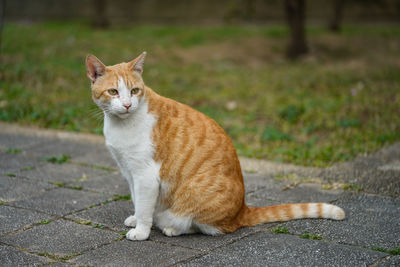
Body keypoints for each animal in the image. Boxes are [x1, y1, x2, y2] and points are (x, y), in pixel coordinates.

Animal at [84, 52, 344, 243]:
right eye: (113, 92)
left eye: (135, 91)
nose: (128, 105)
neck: (121, 124)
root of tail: (242, 210)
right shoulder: (129, 171)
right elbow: (138, 202)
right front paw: (135, 218)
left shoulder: (145, 176)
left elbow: (145, 206)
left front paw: (141, 230)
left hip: (194, 204)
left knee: (204, 227)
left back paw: (171, 228)